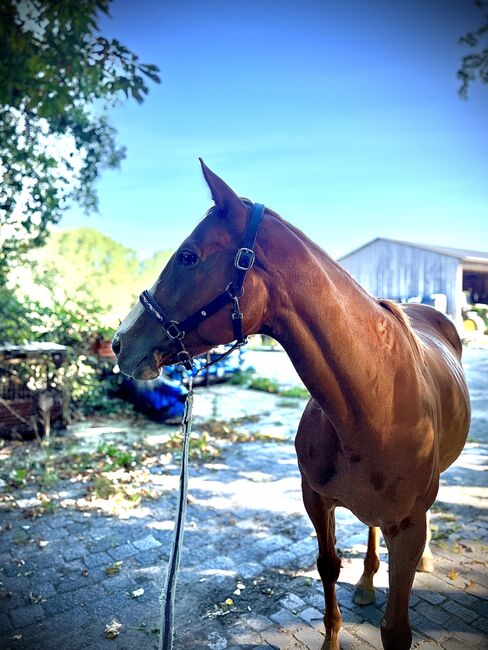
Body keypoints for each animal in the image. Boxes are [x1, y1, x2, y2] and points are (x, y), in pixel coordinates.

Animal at [112, 160, 471, 650]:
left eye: (188, 256)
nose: (120, 341)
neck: (377, 403)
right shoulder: (315, 499)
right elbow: (328, 567)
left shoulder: (409, 525)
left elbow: (396, 628)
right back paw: (365, 583)